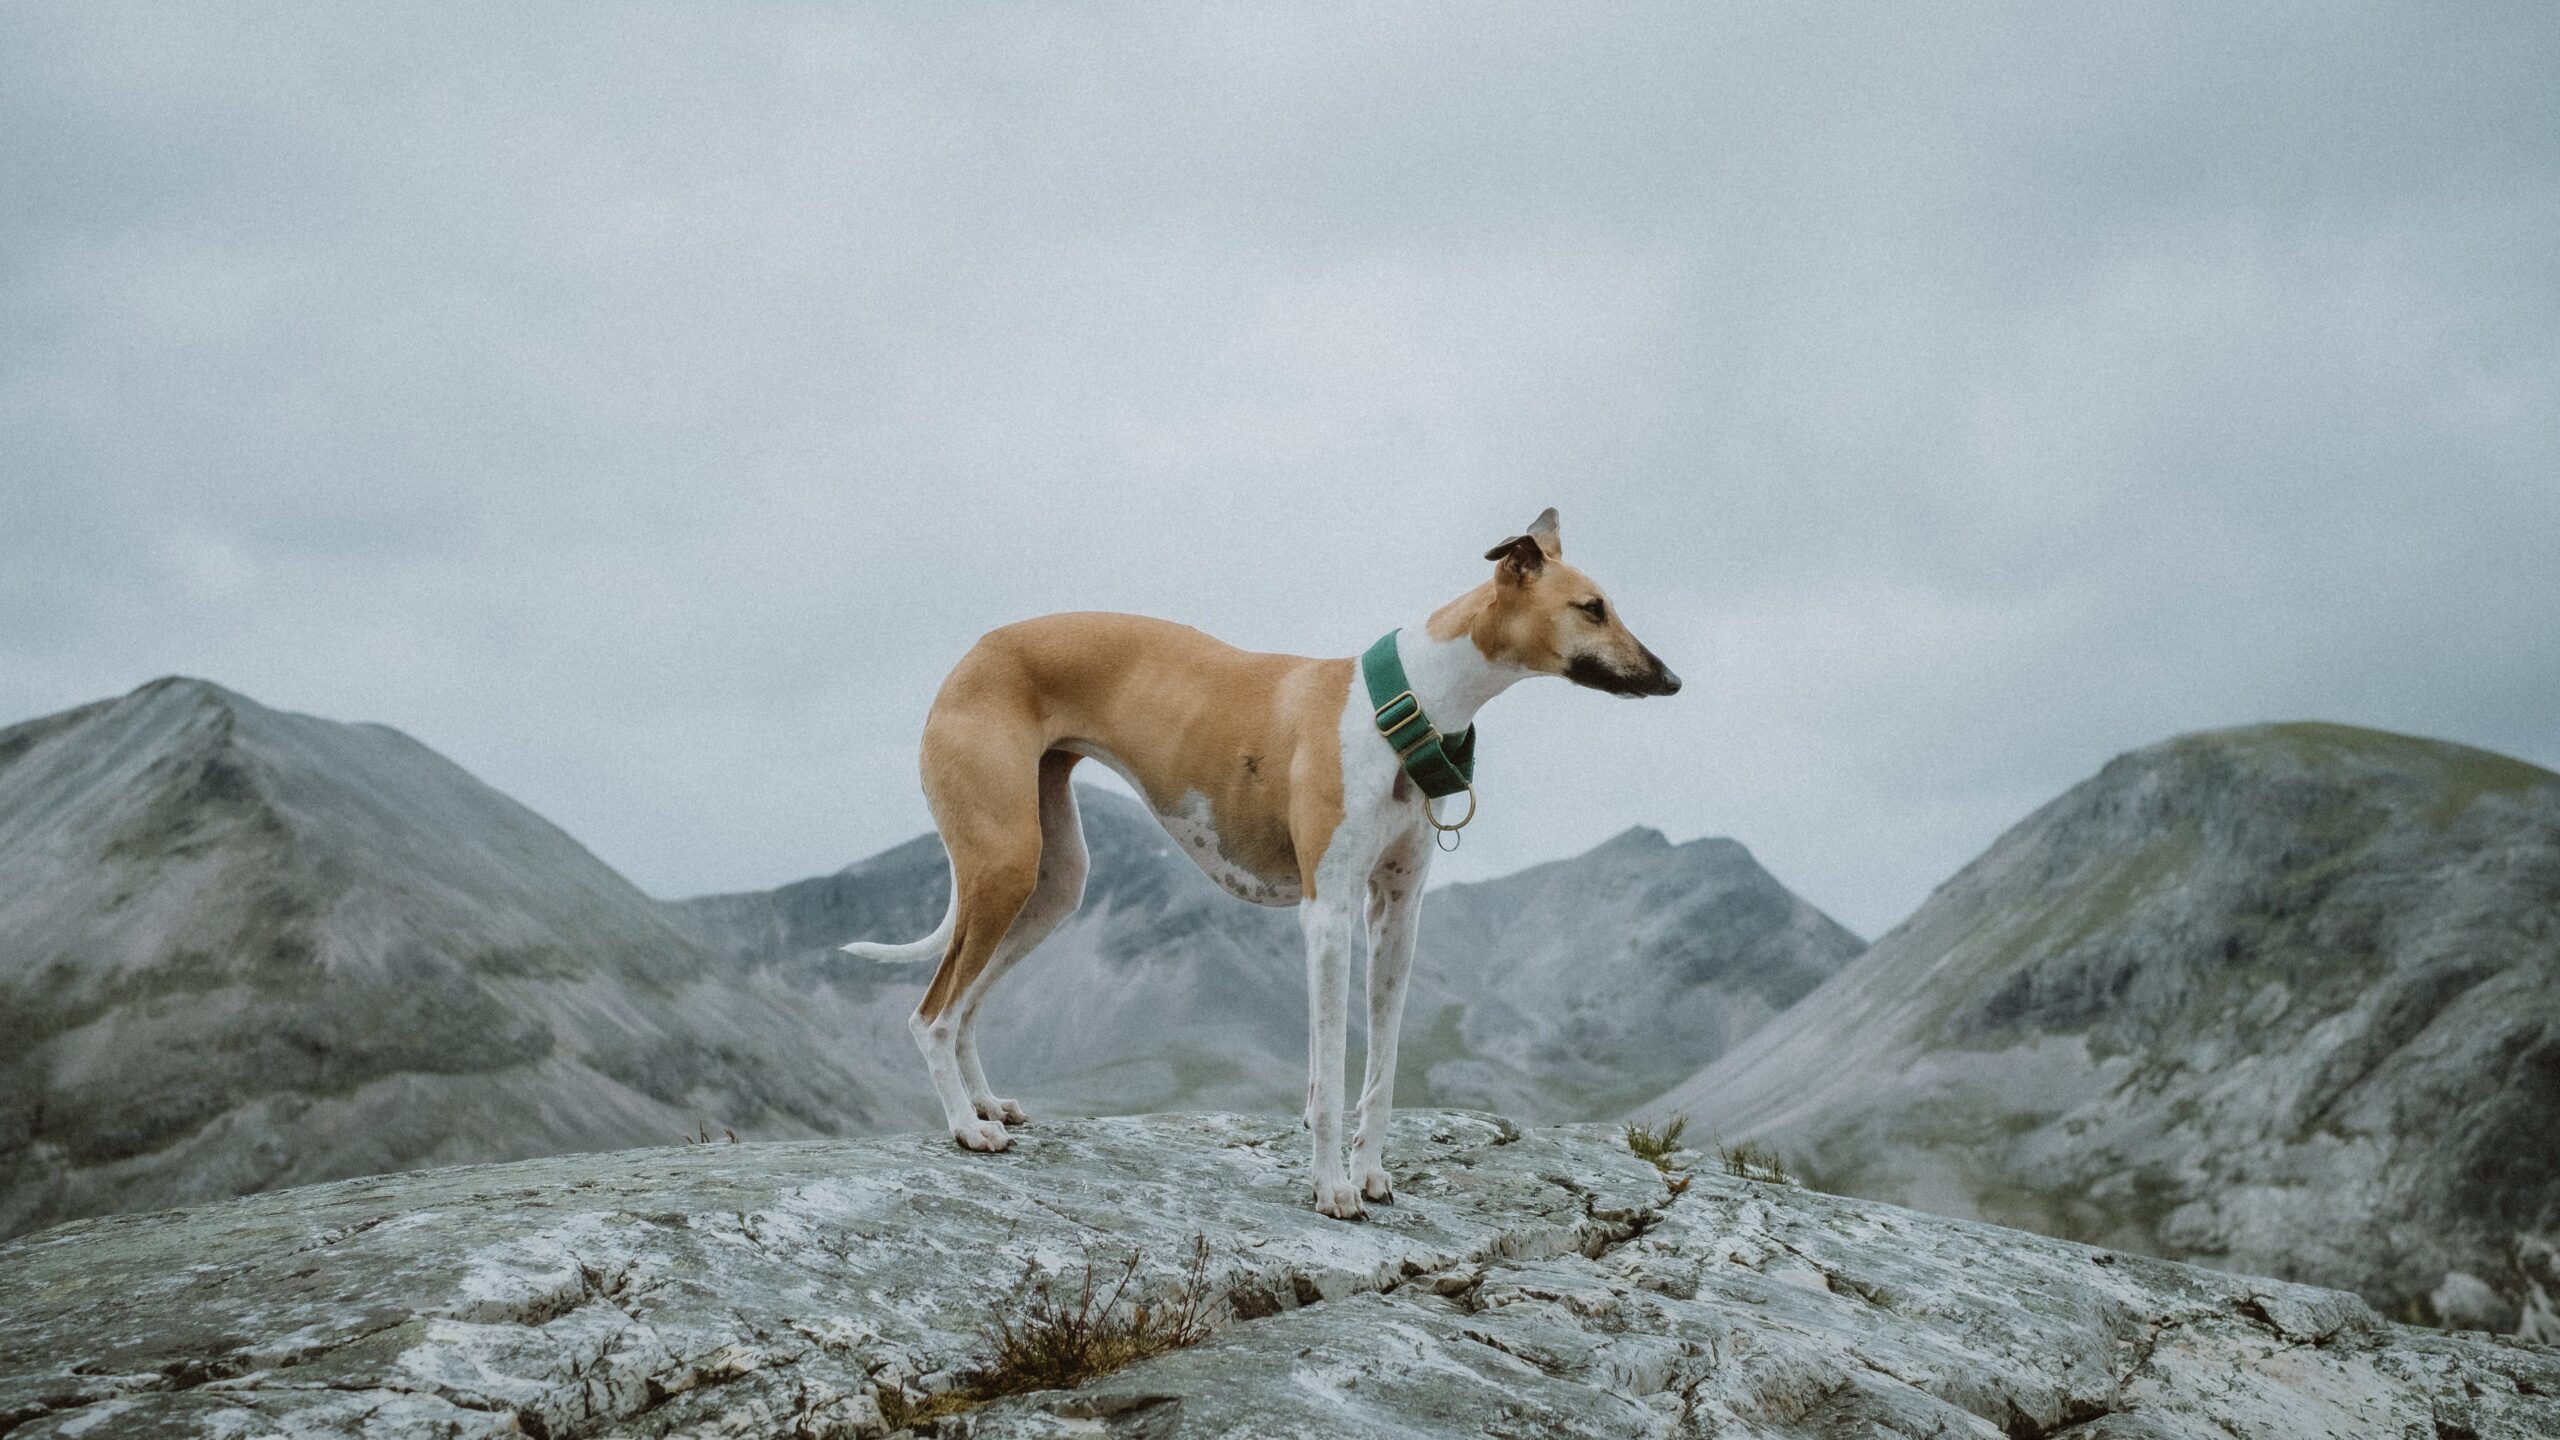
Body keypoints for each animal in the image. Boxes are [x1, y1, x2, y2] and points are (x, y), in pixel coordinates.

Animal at [839, 504, 1679, 1209]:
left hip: (1051, 883)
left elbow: (1378, 1071)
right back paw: (965, 1126)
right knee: (932, 1013)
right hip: (1005, 863)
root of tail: (972, 653)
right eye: (1592, 607)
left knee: (969, 1003)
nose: (1671, 679)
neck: (1408, 702)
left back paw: (986, 1103)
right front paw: (1332, 1188)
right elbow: (1333, 1075)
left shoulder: (1395, 918)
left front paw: (1370, 1174)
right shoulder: (1328, 914)